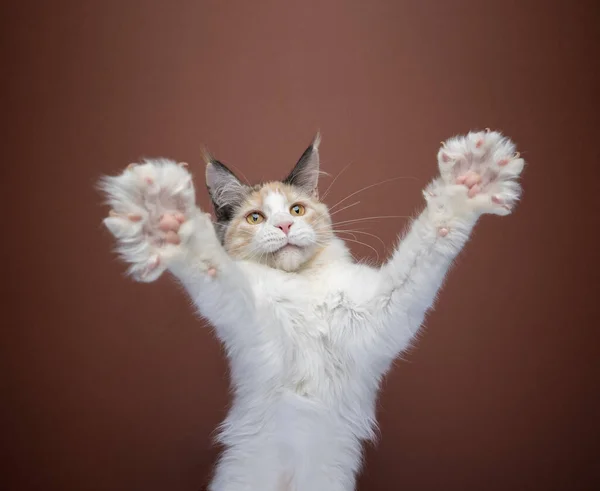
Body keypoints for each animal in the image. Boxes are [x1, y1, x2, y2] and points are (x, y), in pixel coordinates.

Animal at [98, 131, 524, 491]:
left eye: (297, 210)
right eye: (256, 218)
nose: (285, 226)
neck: (301, 287)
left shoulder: (384, 314)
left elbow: (433, 236)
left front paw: (471, 180)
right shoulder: (253, 324)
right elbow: (213, 269)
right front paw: (163, 219)